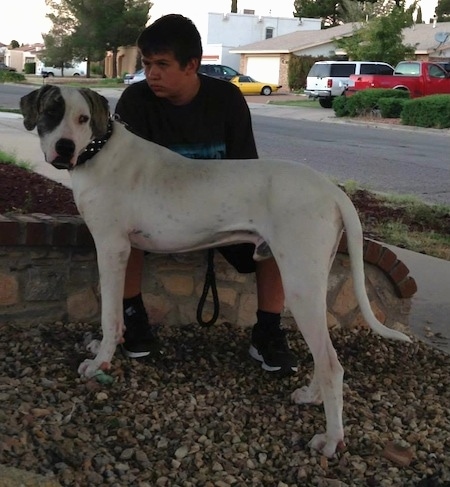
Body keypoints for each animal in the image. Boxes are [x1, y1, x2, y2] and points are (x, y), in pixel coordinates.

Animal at [19, 86, 410, 460]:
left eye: (82, 118)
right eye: (52, 112)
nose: (65, 147)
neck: (98, 150)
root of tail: (332, 189)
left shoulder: (112, 246)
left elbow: (110, 314)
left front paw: (100, 361)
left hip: (299, 283)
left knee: (331, 363)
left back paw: (331, 440)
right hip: (312, 276)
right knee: (323, 355)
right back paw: (311, 396)